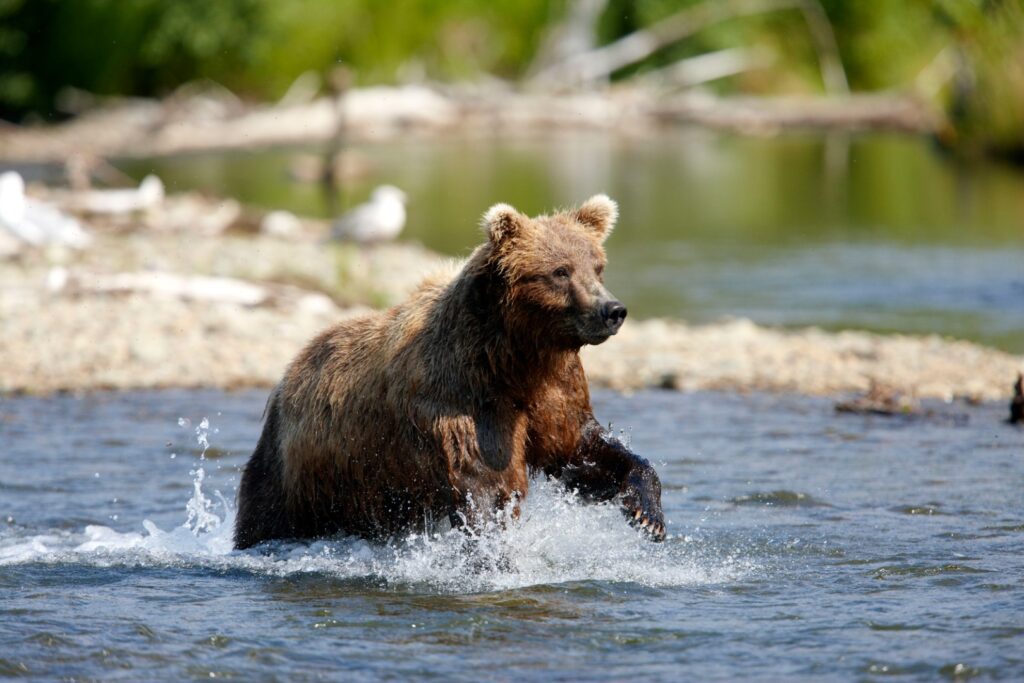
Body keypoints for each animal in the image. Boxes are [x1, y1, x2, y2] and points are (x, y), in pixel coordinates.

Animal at [234, 195, 666, 549]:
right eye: (560, 271)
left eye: (598, 267)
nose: (612, 310)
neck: (515, 357)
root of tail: (290, 369)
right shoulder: (461, 397)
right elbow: (485, 484)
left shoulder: (555, 389)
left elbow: (580, 450)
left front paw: (647, 514)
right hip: (296, 467)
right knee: (264, 514)